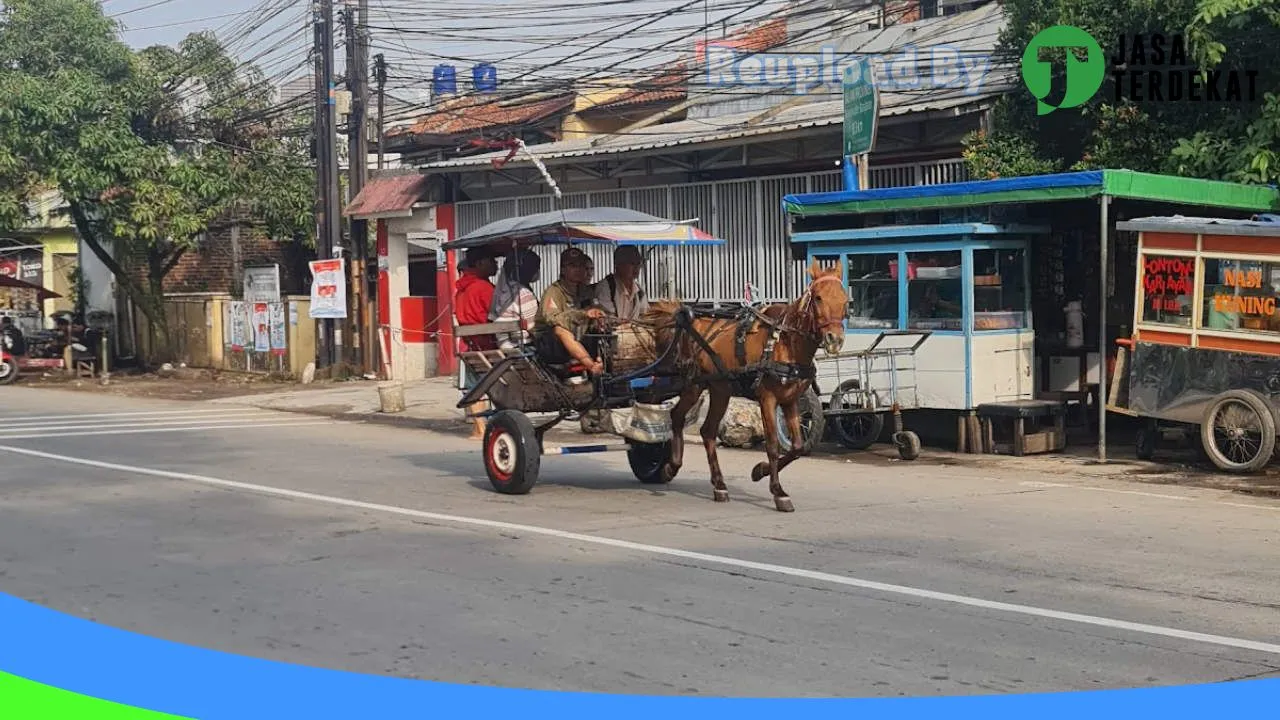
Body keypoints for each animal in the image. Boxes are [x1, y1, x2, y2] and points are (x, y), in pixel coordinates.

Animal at [645, 257, 844, 509]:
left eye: (846, 300)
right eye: (818, 297)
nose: (835, 340)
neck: (785, 341)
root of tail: (690, 318)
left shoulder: (790, 400)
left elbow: (797, 447)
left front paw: (760, 471)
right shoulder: (767, 398)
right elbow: (772, 445)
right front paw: (778, 491)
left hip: (721, 389)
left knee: (707, 431)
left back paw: (719, 484)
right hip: (694, 384)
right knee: (677, 417)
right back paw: (672, 466)